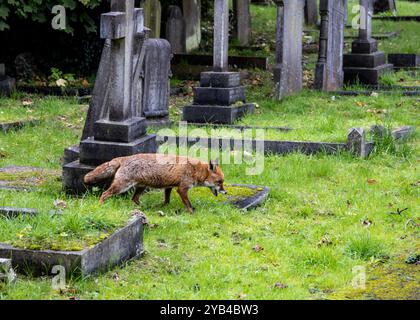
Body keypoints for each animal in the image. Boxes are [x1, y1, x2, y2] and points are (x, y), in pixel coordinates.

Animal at [83, 152, 226, 212]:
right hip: (121, 186)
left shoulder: (170, 186)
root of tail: (124, 158)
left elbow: (167, 199)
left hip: (140, 187)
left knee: (134, 199)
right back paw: (100, 206)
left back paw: (144, 208)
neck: (196, 170)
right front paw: (191, 213)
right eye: (220, 182)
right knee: (105, 194)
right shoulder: (182, 188)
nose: (225, 192)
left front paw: (164, 206)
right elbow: (188, 204)